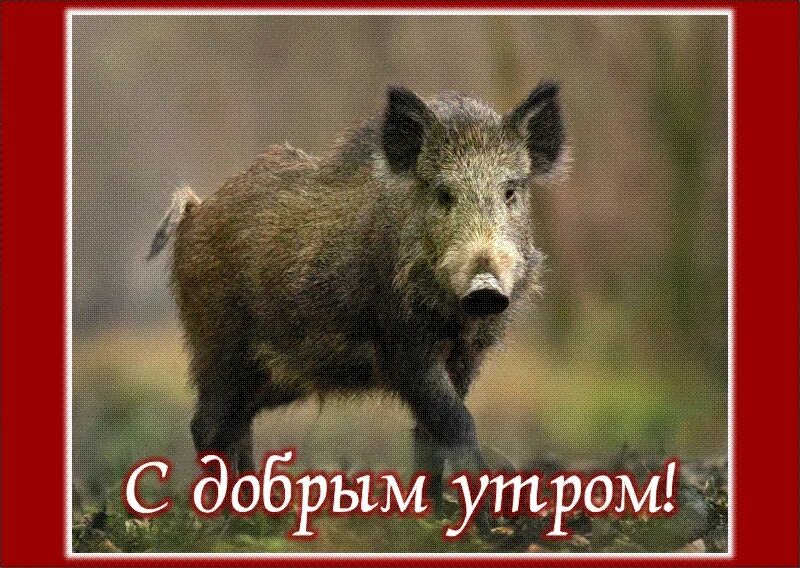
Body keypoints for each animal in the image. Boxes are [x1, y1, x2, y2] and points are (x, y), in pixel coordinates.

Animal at [149, 82, 566, 533]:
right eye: (443, 194)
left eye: (510, 192)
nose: (485, 287)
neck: (455, 319)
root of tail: (194, 209)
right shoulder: (404, 348)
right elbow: (457, 423)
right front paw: (486, 526)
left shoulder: (468, 357)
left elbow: (429, 434)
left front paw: (432, 520)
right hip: (218, 345)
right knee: (207, 427)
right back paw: (224, 526)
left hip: (268, 374)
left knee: (237, 424)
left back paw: (252, 516)